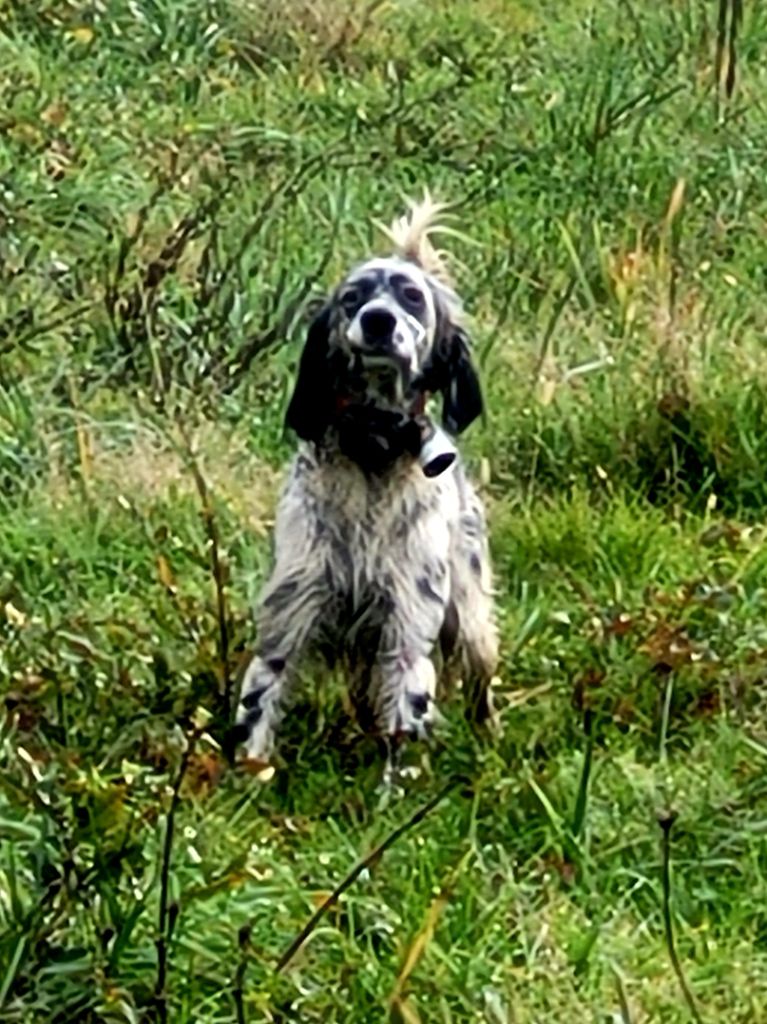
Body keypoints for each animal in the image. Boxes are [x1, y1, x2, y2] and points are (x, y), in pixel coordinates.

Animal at [231, 192, 497, 770]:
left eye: (413, 298)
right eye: (352, 298)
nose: (377, 320)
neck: (373, 449)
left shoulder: (407, 632)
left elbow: (404, 728)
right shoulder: (287, 620)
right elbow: (257, 710)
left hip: (471, 621)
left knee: (481, 682)